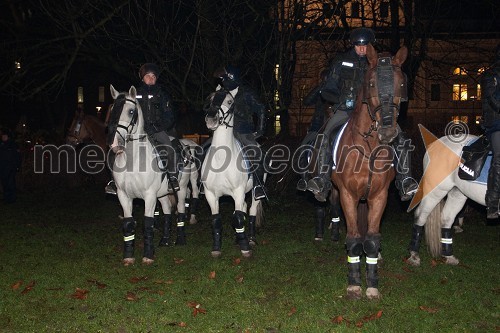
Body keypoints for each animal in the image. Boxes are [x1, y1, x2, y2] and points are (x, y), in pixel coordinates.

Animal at [108, 85, 200, 264]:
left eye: (131, 111)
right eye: (113, 109)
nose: (116, 144)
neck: (133, 161)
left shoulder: (149, 196)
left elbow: (148, 223)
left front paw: (148, 255)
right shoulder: (124, 196)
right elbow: (128, 224)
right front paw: (128, 256)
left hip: (182, 188)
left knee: (180, 209)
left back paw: (180, 240)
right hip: (163, 193)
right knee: (167, 211)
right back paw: (164, 240)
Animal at [201, 87, 266, 256]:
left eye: (230, 102)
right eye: (210, 99)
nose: (211, 119)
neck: (221, 160)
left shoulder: (238, 191)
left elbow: (238, 218)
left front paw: (245, 248)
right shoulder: (211, 194)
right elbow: (216, 220)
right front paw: (216, 248)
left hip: (255, 193)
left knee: (251, 211)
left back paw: (250, 239)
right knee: (243, 208)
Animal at [332, 44, 406, 298]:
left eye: (401, 84)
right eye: (372, 83)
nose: (388, 132)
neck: (370, 147)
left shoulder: (378, 196)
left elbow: (372, 240)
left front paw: (372, 285)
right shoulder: (348, 195)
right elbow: (354, 239)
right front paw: (354, 283)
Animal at [408, 134, 486, 266]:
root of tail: (434, 144)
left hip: (457, 193)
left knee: (447, 218)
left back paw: (448, 255)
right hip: (436, 192)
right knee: (421, 215)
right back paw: (414, 254)